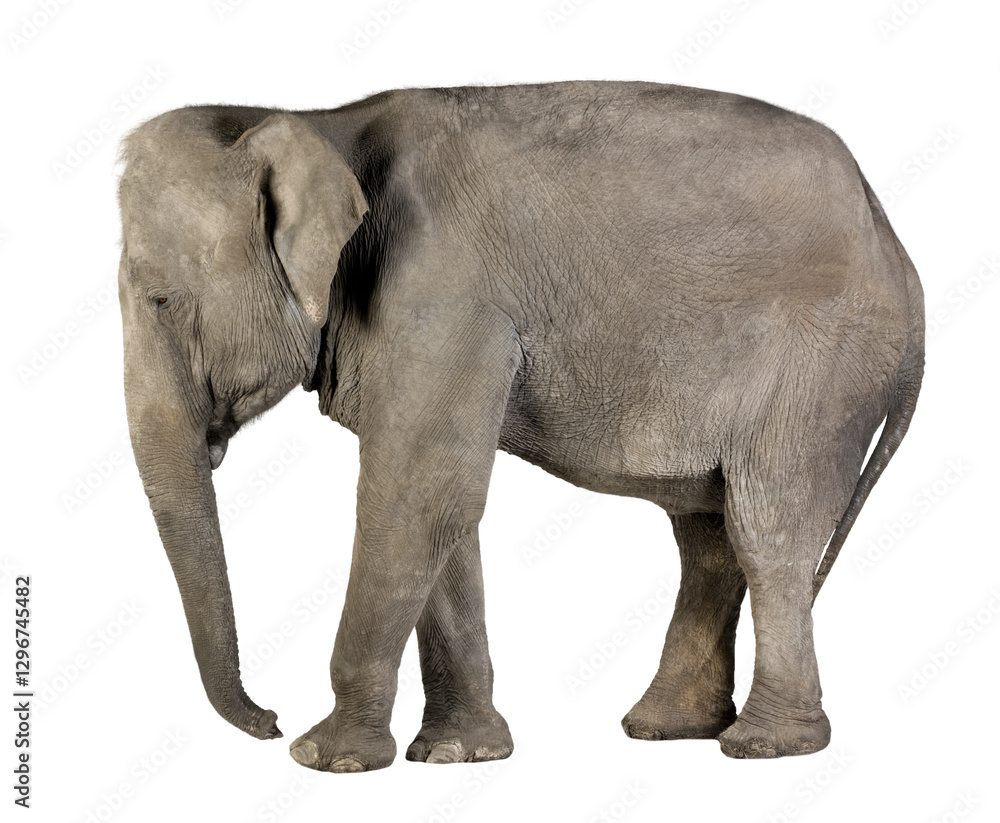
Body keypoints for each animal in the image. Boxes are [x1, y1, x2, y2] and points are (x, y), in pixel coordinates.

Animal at [117, 80, 923, 771]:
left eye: (160, 299)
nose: (269, 718)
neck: (318, 122)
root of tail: (897, 248)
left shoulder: (443, 299)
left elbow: (418, 494)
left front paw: (326, 757)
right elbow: (445, 509)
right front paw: (458, 753)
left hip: (821, 370)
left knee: (768, 531)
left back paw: (762, 745)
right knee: (708, 535)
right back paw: (665, 728)